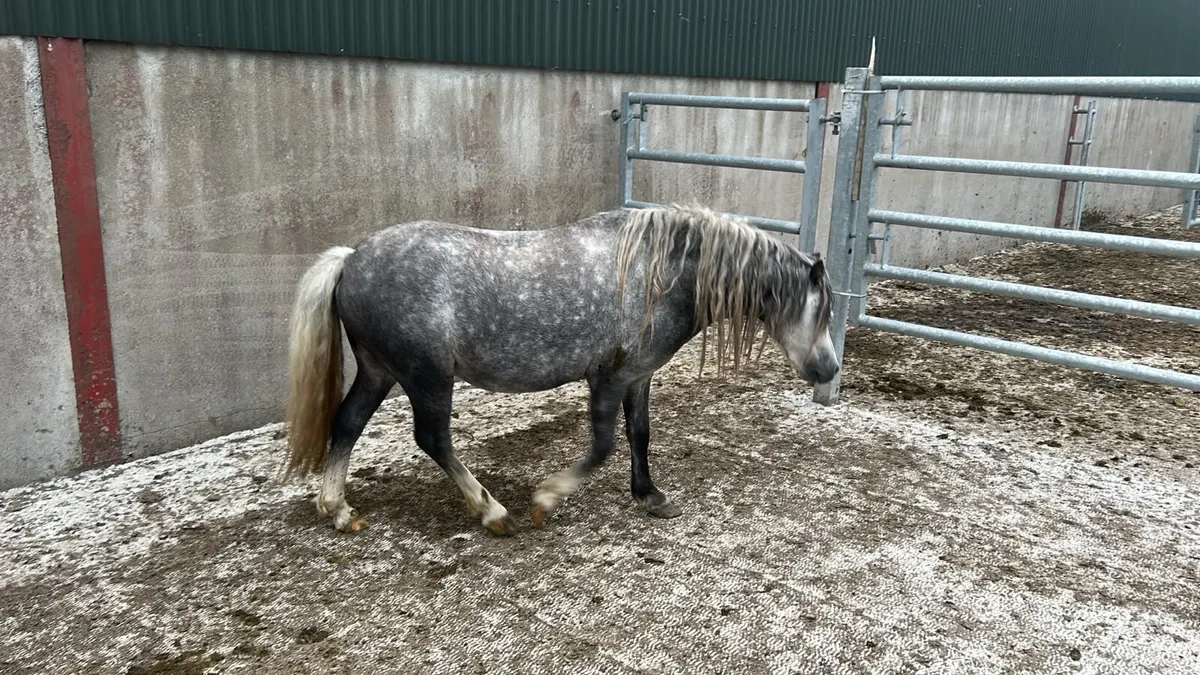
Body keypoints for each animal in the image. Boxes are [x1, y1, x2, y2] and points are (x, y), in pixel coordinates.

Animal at [282, 205, 839, 535]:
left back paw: (338, 510)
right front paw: (547, 499)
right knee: (432, 439)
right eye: (822, 309)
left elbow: (640, 434)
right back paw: (493, 512)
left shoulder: (639, 376)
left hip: (381, 371)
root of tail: (352, 259)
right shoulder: (608, 378)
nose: (829, 369)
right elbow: (604, 444)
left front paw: (649, 495)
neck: (656, 274)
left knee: (347, 423)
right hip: (427, 377)